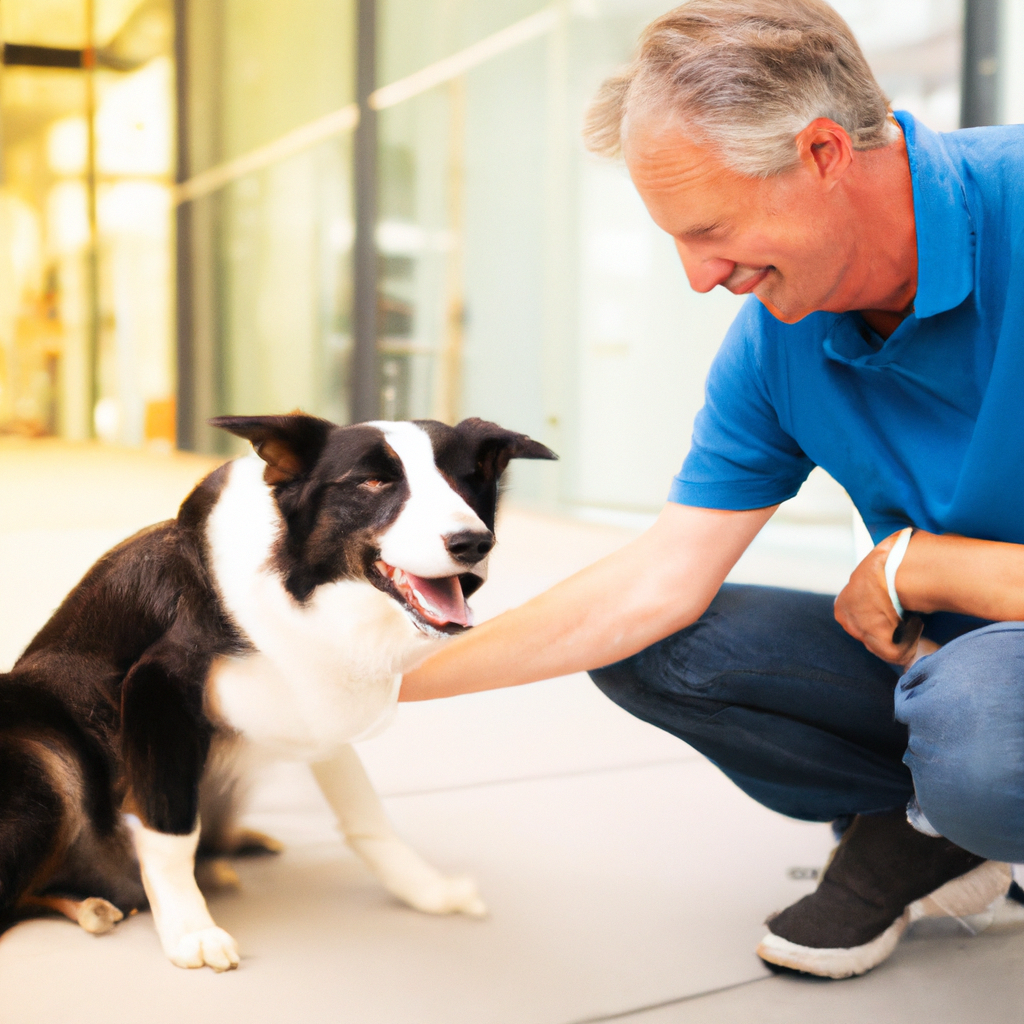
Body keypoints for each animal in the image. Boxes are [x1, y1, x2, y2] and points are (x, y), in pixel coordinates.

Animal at [0, 413, 552, 966]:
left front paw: (427, 891)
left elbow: (367, 817)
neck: (304, 585)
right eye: (374, 481)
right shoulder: (158, 685)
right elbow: (169, 830)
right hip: (47, 765)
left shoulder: (316, 705)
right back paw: (91, 905)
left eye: (465, 480)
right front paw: (190, 929)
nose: (472, 543)